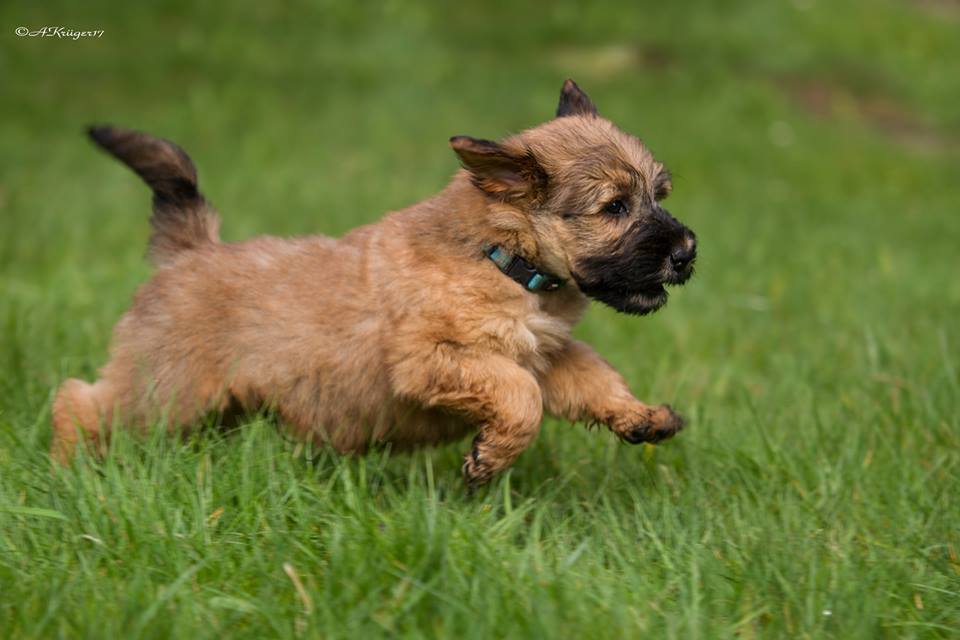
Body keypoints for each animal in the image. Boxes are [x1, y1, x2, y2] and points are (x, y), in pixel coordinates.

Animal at [52, 79, 696, 484]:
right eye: (614, 207)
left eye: (658, 194)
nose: (688, 252)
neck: (500, 258)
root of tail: (191, 251)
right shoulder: (432, 358)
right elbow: (520, 398)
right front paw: (489, 460)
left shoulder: (549, 355)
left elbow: (594, 380)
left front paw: (641, 416)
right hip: (163, 389)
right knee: (81, 400)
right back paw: (67, 467)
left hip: (204, 403)